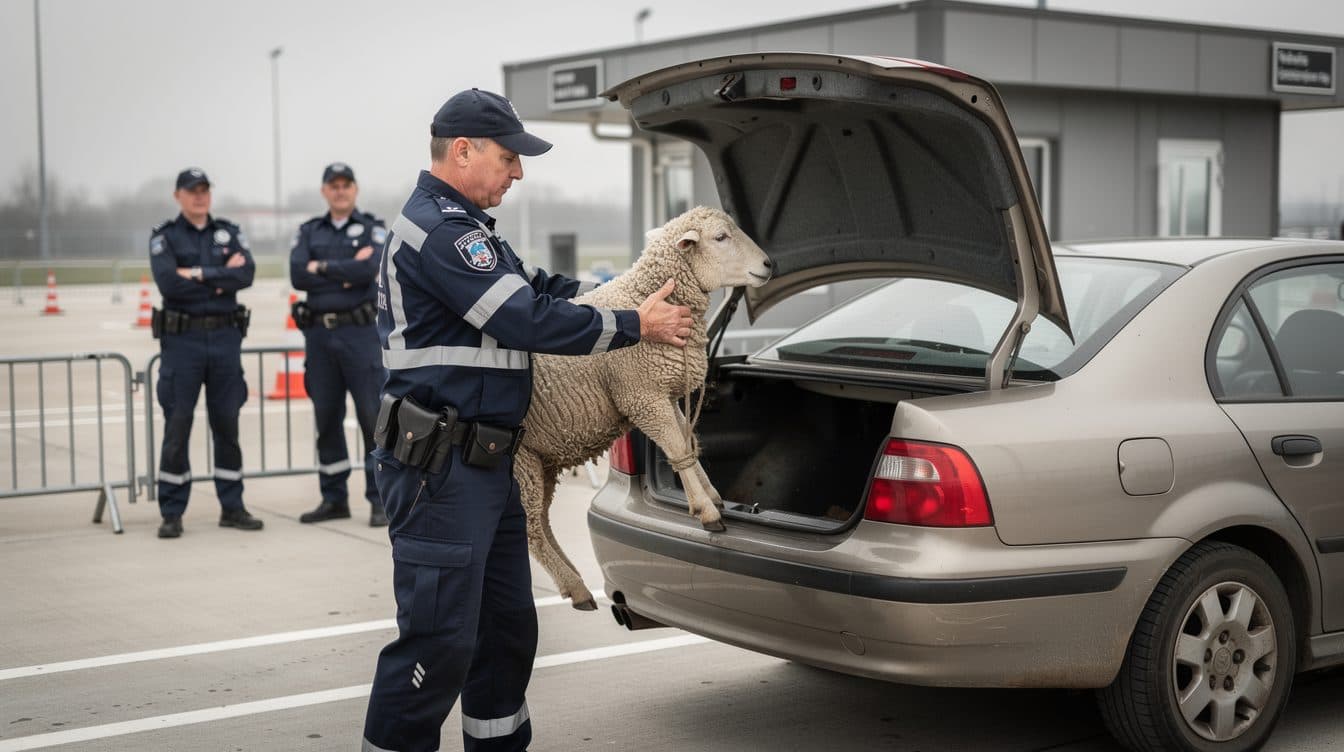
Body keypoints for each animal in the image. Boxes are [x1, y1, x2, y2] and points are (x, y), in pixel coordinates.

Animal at [514, 206, 773, 610]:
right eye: (720, 237)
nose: (768, 265)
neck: (649, 295)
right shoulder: (643, 396)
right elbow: (679, 447)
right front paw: (706, 510)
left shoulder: (665, 392)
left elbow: (688, 446)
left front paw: (711, 493)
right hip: (517, 462)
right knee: (530, 530)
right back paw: (575, 587)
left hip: (539, 461)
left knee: (541, 520)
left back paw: (574, 582)